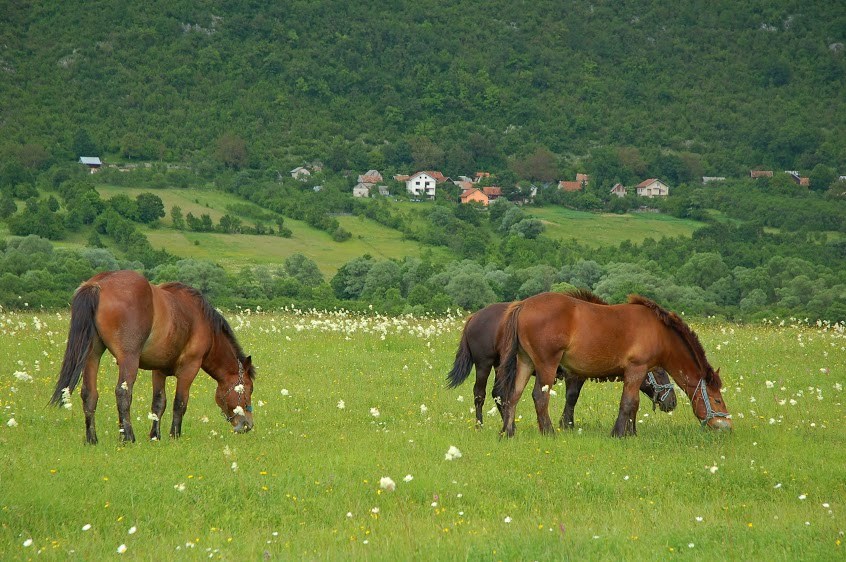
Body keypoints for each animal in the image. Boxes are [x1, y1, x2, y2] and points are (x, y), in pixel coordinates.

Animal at [48, 270, 255, 444]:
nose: (248, 425)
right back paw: (128, 437)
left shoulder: (159, 370)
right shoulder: (190, 368)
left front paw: (155, 436)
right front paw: (174, 435)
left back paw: (92, 439)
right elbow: (180, 403)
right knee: (123, 393)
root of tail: (98, 284)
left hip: (92, 355)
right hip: (128, 359)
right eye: (248, 389)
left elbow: (158, 403)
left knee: (89, 394)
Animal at [448, 294, 680, 424]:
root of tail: (474, 317)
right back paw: (480, 424)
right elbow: (572, 397)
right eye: (659, 371)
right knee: (480, 394)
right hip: (484, 365)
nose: (672, 403)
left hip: (502, 366)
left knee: (499, 393)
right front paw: (566, 423)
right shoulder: (573, 375)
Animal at [500, 290, 732, 436]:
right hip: (546, 365)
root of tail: (523, 305)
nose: (726, 425)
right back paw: (548, 432)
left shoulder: (637, 373)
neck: (660, 332)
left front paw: (631, 432)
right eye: (718, 400)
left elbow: (634, 403)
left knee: (513, 395)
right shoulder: (636, 369)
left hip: (526, 362)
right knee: (539, 397)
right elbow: (628, 403)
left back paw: (507, 432)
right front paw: (619, 433)